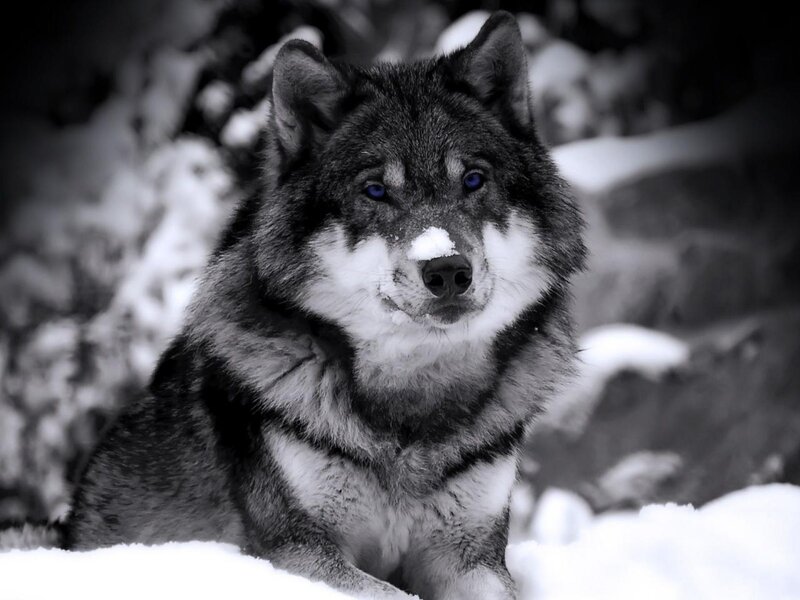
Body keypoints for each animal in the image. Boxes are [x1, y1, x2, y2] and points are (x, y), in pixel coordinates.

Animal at [61, 12, 585, 600]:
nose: (447, 269)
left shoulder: (471, 557)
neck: (410, 409)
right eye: (375, 190)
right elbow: (391, 594)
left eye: (473, 180)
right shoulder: (297, 551)